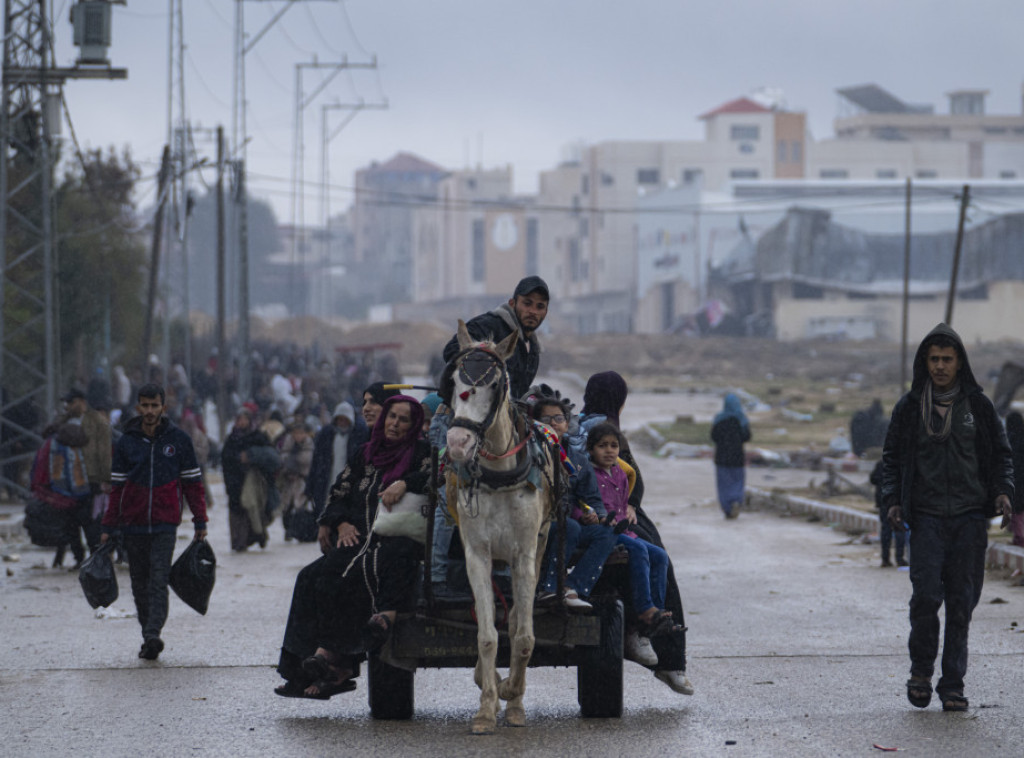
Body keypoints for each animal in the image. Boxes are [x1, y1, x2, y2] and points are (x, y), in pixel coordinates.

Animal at [446, 321, 557, 733]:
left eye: (495, 384)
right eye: (454, 380)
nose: (458, 442)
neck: (498, 474)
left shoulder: (524, 554)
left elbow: (523, 635)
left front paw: (512, 697)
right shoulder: (477, 554)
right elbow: (487, 635)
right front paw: (485, 707)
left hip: (539, 544)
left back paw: (513, 698)